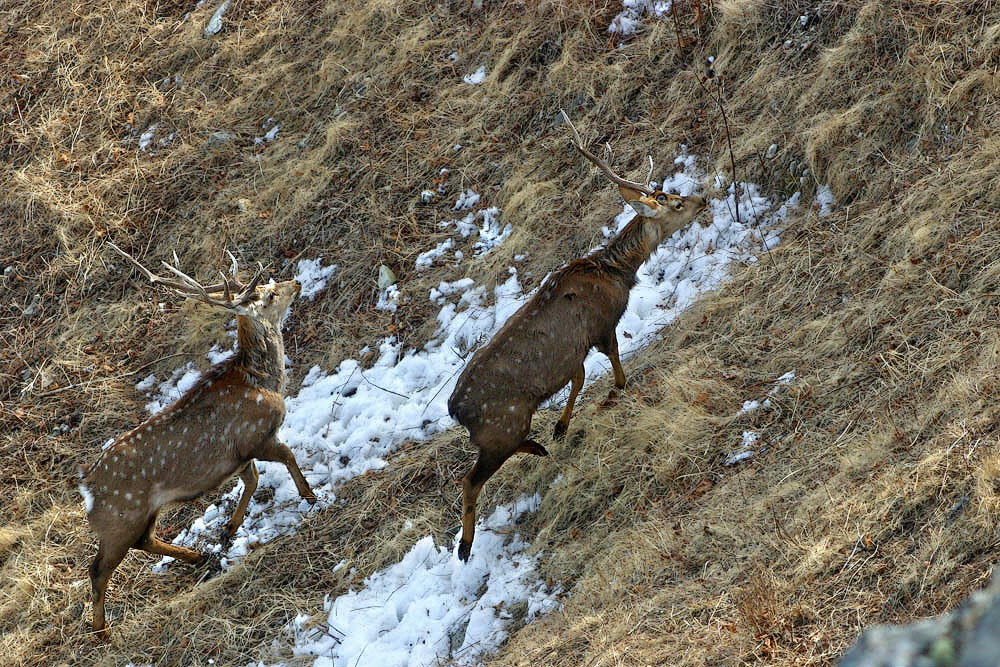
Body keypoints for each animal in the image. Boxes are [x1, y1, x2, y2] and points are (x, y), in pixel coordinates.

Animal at [80, 244, 318, 636]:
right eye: (268, 294)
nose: (296, 282)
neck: (262, 381)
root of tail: (85, 489)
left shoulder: (237, 455)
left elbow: (252, 479)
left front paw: (229, 530)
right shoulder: (256, 436)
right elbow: (287, 456)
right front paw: (311, 496)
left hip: (142, 514)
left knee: (145, 541)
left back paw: (197, 556)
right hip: (120, 519)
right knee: (98, 569)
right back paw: (102, 631)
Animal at [446, 112, 712, 560]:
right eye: (674, 202)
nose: (704, 199)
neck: (615, 271)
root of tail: (454, 410)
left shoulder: (574, 350)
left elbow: (579, 377)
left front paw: (562, 426)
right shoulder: (601, 324)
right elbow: (613, 358)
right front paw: (619, 388)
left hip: (501, 430)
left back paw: (539, 446)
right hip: (502, 424)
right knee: (469, 479)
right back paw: (465, 547)